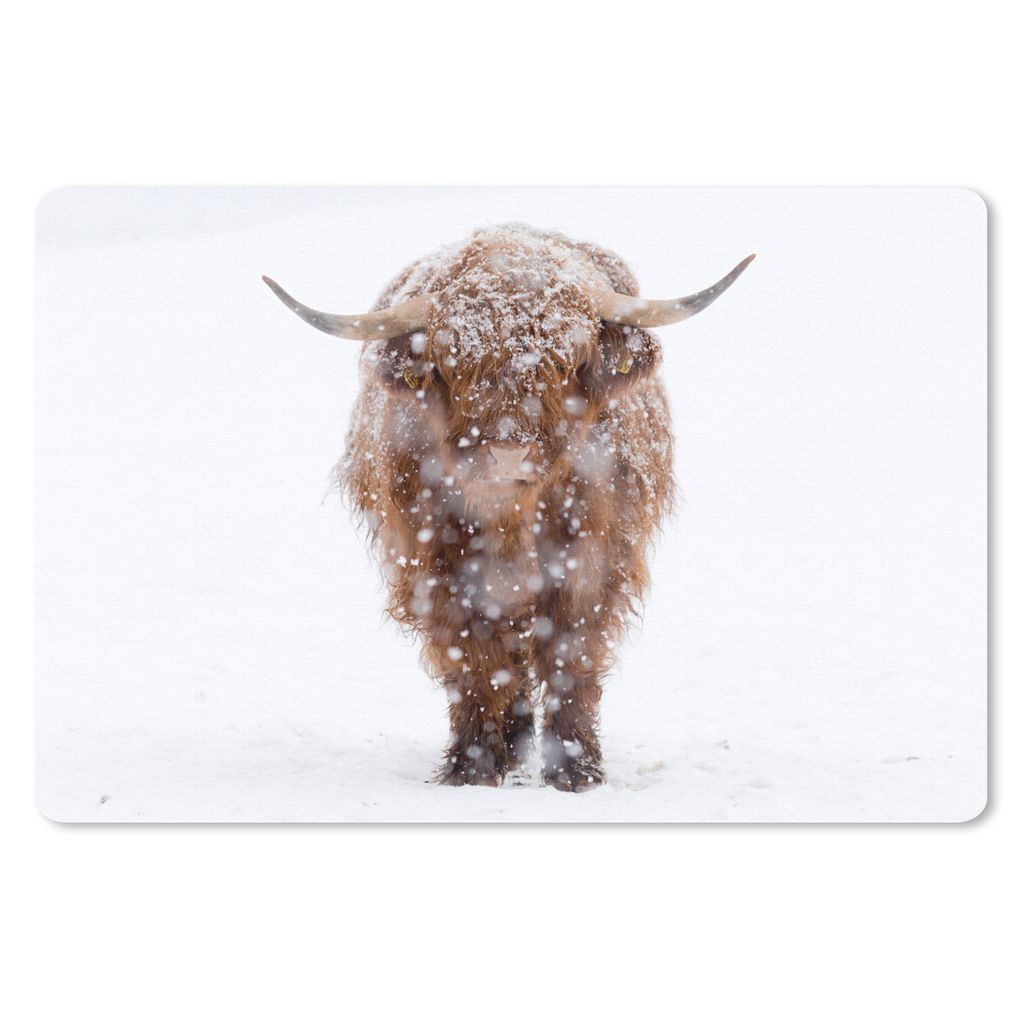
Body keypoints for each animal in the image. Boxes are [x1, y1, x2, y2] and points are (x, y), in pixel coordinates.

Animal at [264, 225, 753, 791]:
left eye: (565, 358)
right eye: (456, 361)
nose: (507, 453)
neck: (511, 517)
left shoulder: (592, 559)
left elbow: (571, 653)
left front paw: (575, 769)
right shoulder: (435, 567)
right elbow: (472, 660)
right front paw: (471, 766)